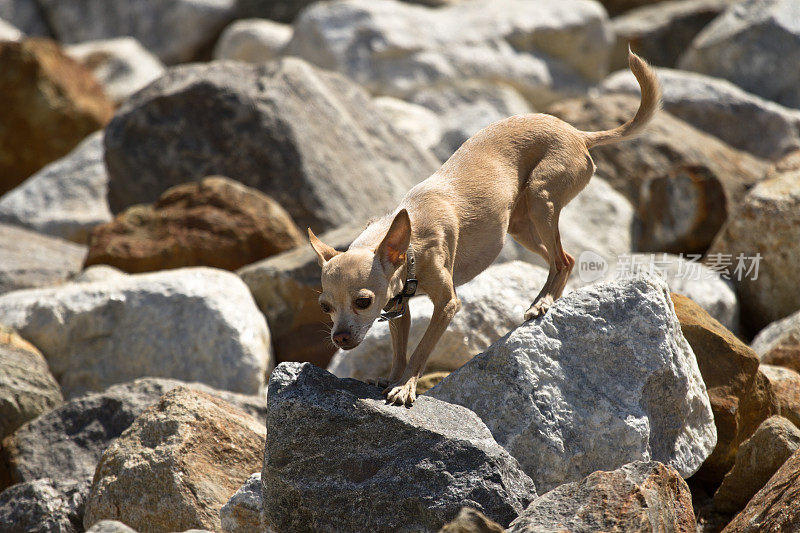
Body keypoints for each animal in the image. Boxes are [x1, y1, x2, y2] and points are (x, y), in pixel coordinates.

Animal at [310, 51, 660, 408]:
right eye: (325, 307)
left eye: (363, 301)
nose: (339, 337)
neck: (410, 238)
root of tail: (578, 133)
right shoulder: (398, 307)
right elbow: (400, 348)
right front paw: (392, 378)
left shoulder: (447, 305)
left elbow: (421, 349)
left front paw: (405, 386)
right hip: (519, 225)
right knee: (567, 258)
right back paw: (550, 296)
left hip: (541, 200)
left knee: (561, 259)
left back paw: (543, 302)